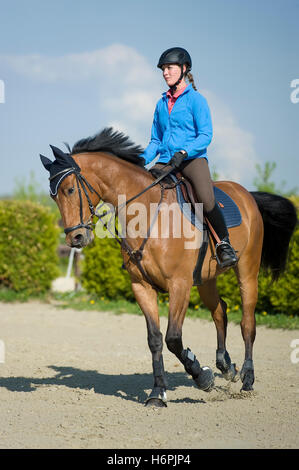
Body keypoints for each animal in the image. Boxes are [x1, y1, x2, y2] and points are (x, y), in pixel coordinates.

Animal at [39, 127, 298, 408]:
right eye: (53, 195)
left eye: (70, 190)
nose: (75, 239)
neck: (148, 213)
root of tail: (247, 194)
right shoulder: (141, 287)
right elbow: (154, 339)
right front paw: (157, 393)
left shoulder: (180, 285)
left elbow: (173, 338)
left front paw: (202, 377)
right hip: (206, 279)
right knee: (220, 311)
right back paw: (226, 367)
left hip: (247, 272)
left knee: (247, 322)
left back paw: (247, 379)